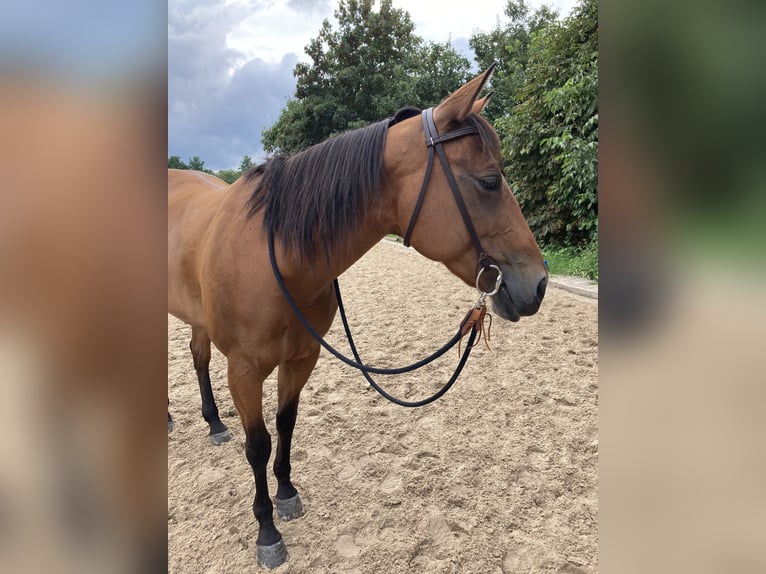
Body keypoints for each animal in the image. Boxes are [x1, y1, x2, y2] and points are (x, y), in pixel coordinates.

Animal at [170, 65, 548, 568]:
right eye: (489, 181)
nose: (540, 283)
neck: (276, 256)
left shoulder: (301, 359)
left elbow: (286, 424)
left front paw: (287, 493)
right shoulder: (244, 371)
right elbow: (259, 444)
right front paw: (267, 532)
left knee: (197, 356)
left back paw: (213, 423)